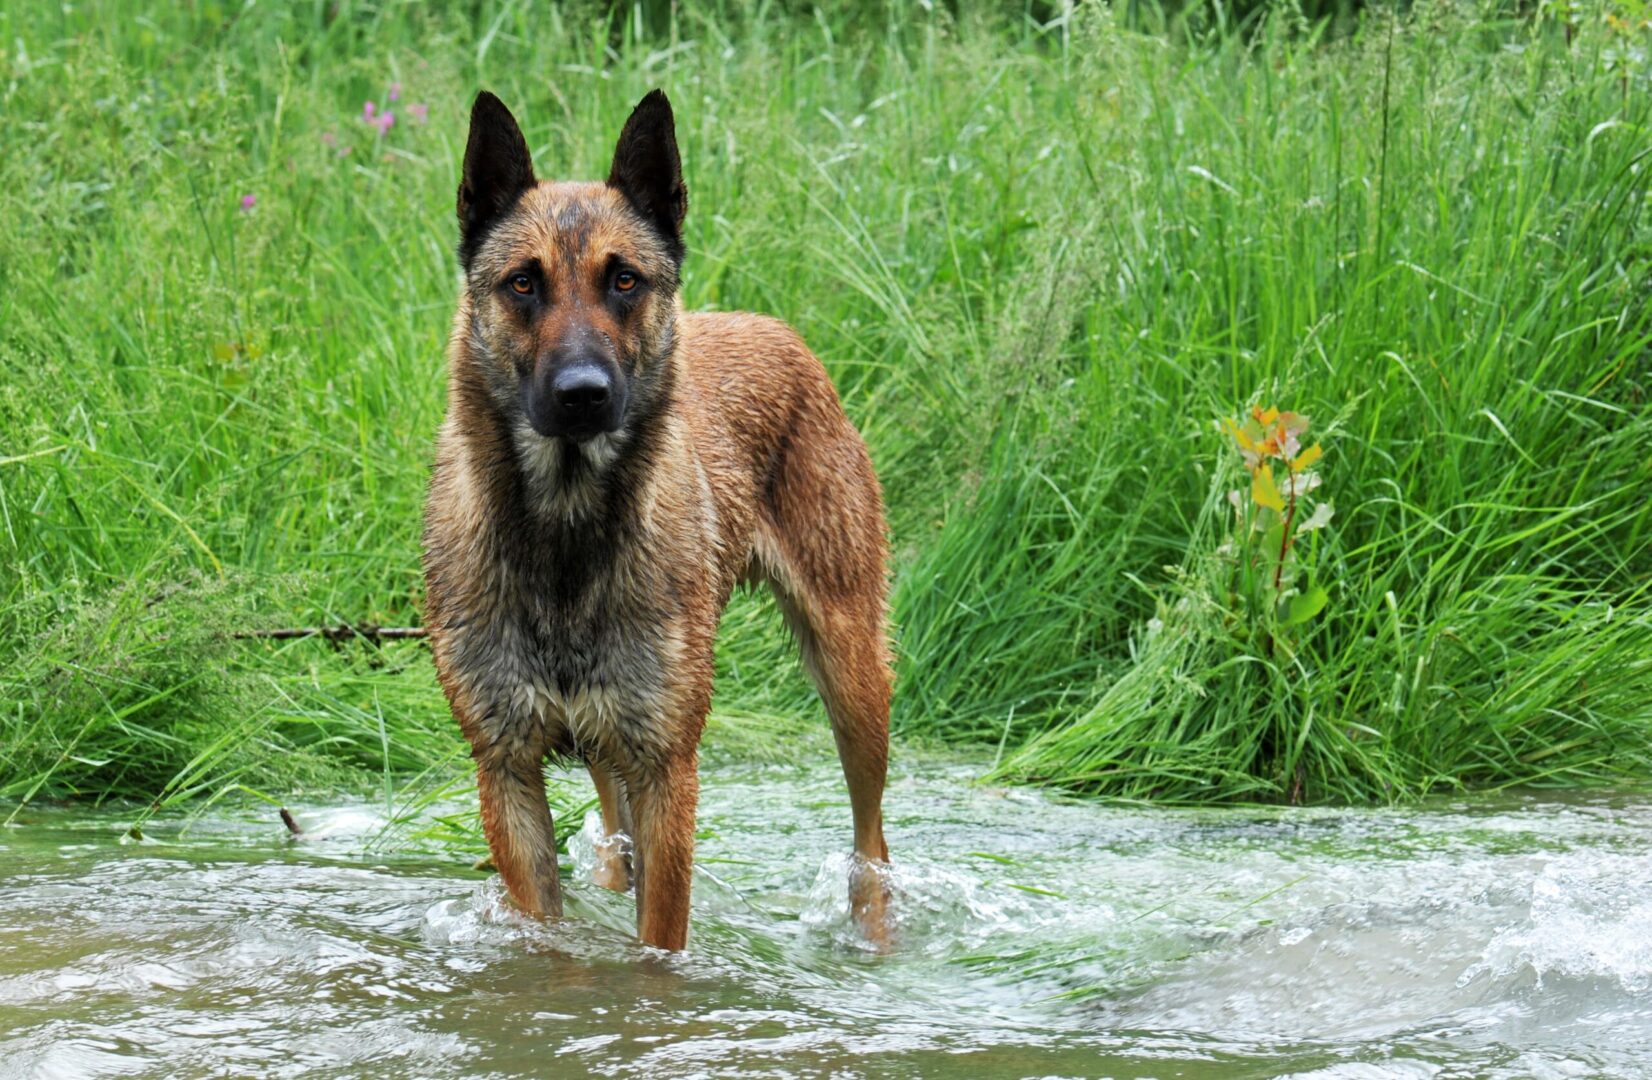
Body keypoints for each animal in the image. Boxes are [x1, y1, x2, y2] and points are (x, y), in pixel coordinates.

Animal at [419, 93, 898, 957]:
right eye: (523, 283)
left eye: (624, 280)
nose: (583, 394)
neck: (566, 539)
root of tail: (780, 331)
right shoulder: (507, 770)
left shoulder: (666, 768)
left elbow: (658, 945)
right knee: (616, 842)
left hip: (852, 677)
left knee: (870, 839)